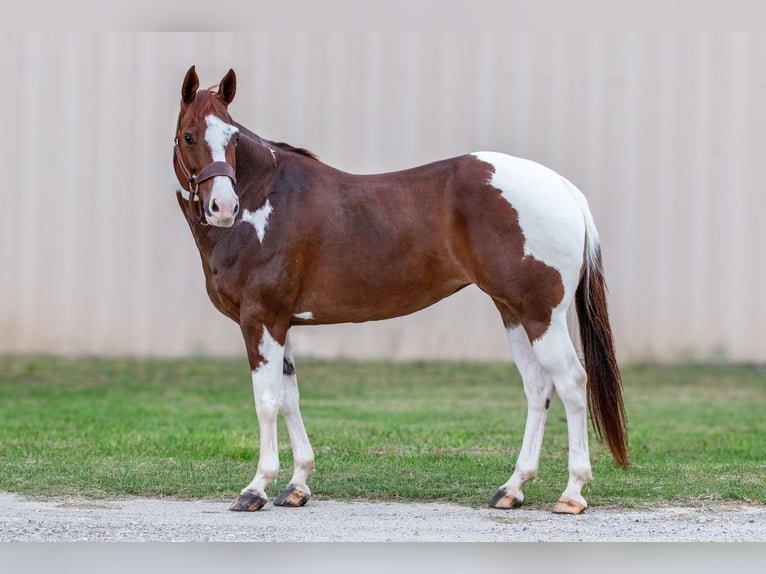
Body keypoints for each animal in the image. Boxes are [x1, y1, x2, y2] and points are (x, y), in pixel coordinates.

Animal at [174, 67, 632, 516]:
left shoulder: (261, 318)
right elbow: (290, 397)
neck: (266, 198)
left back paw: (572, 493)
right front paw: (298, 485)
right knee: (538, 389)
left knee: (571, 382)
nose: (223, 208)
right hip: (513, 312)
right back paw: (512, 488)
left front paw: (256, 488)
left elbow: (266, 400)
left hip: (541, 314)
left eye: (232, 138)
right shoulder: (281, 321)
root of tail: (561, 186)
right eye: (189, 136)